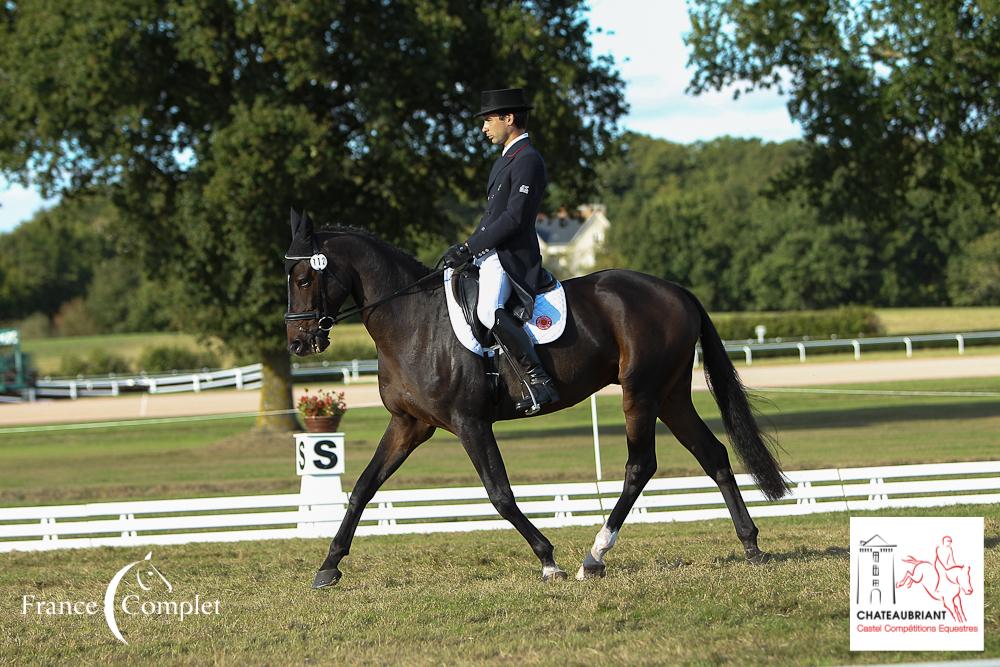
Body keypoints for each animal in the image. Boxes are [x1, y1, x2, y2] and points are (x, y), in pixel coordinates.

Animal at [284, 213, 788, 588]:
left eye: (305, 277)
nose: (299, 343)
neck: (413, 322)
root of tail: (676, 290)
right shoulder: (409, 425)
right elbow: (363, 488)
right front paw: (328, 567)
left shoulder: (469, 423)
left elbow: (500, 494)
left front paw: (548, 560)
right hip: (670, 395)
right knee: (713, 453)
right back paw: (750, 545)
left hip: (640, 392)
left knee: (640, 465)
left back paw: (594, 556)